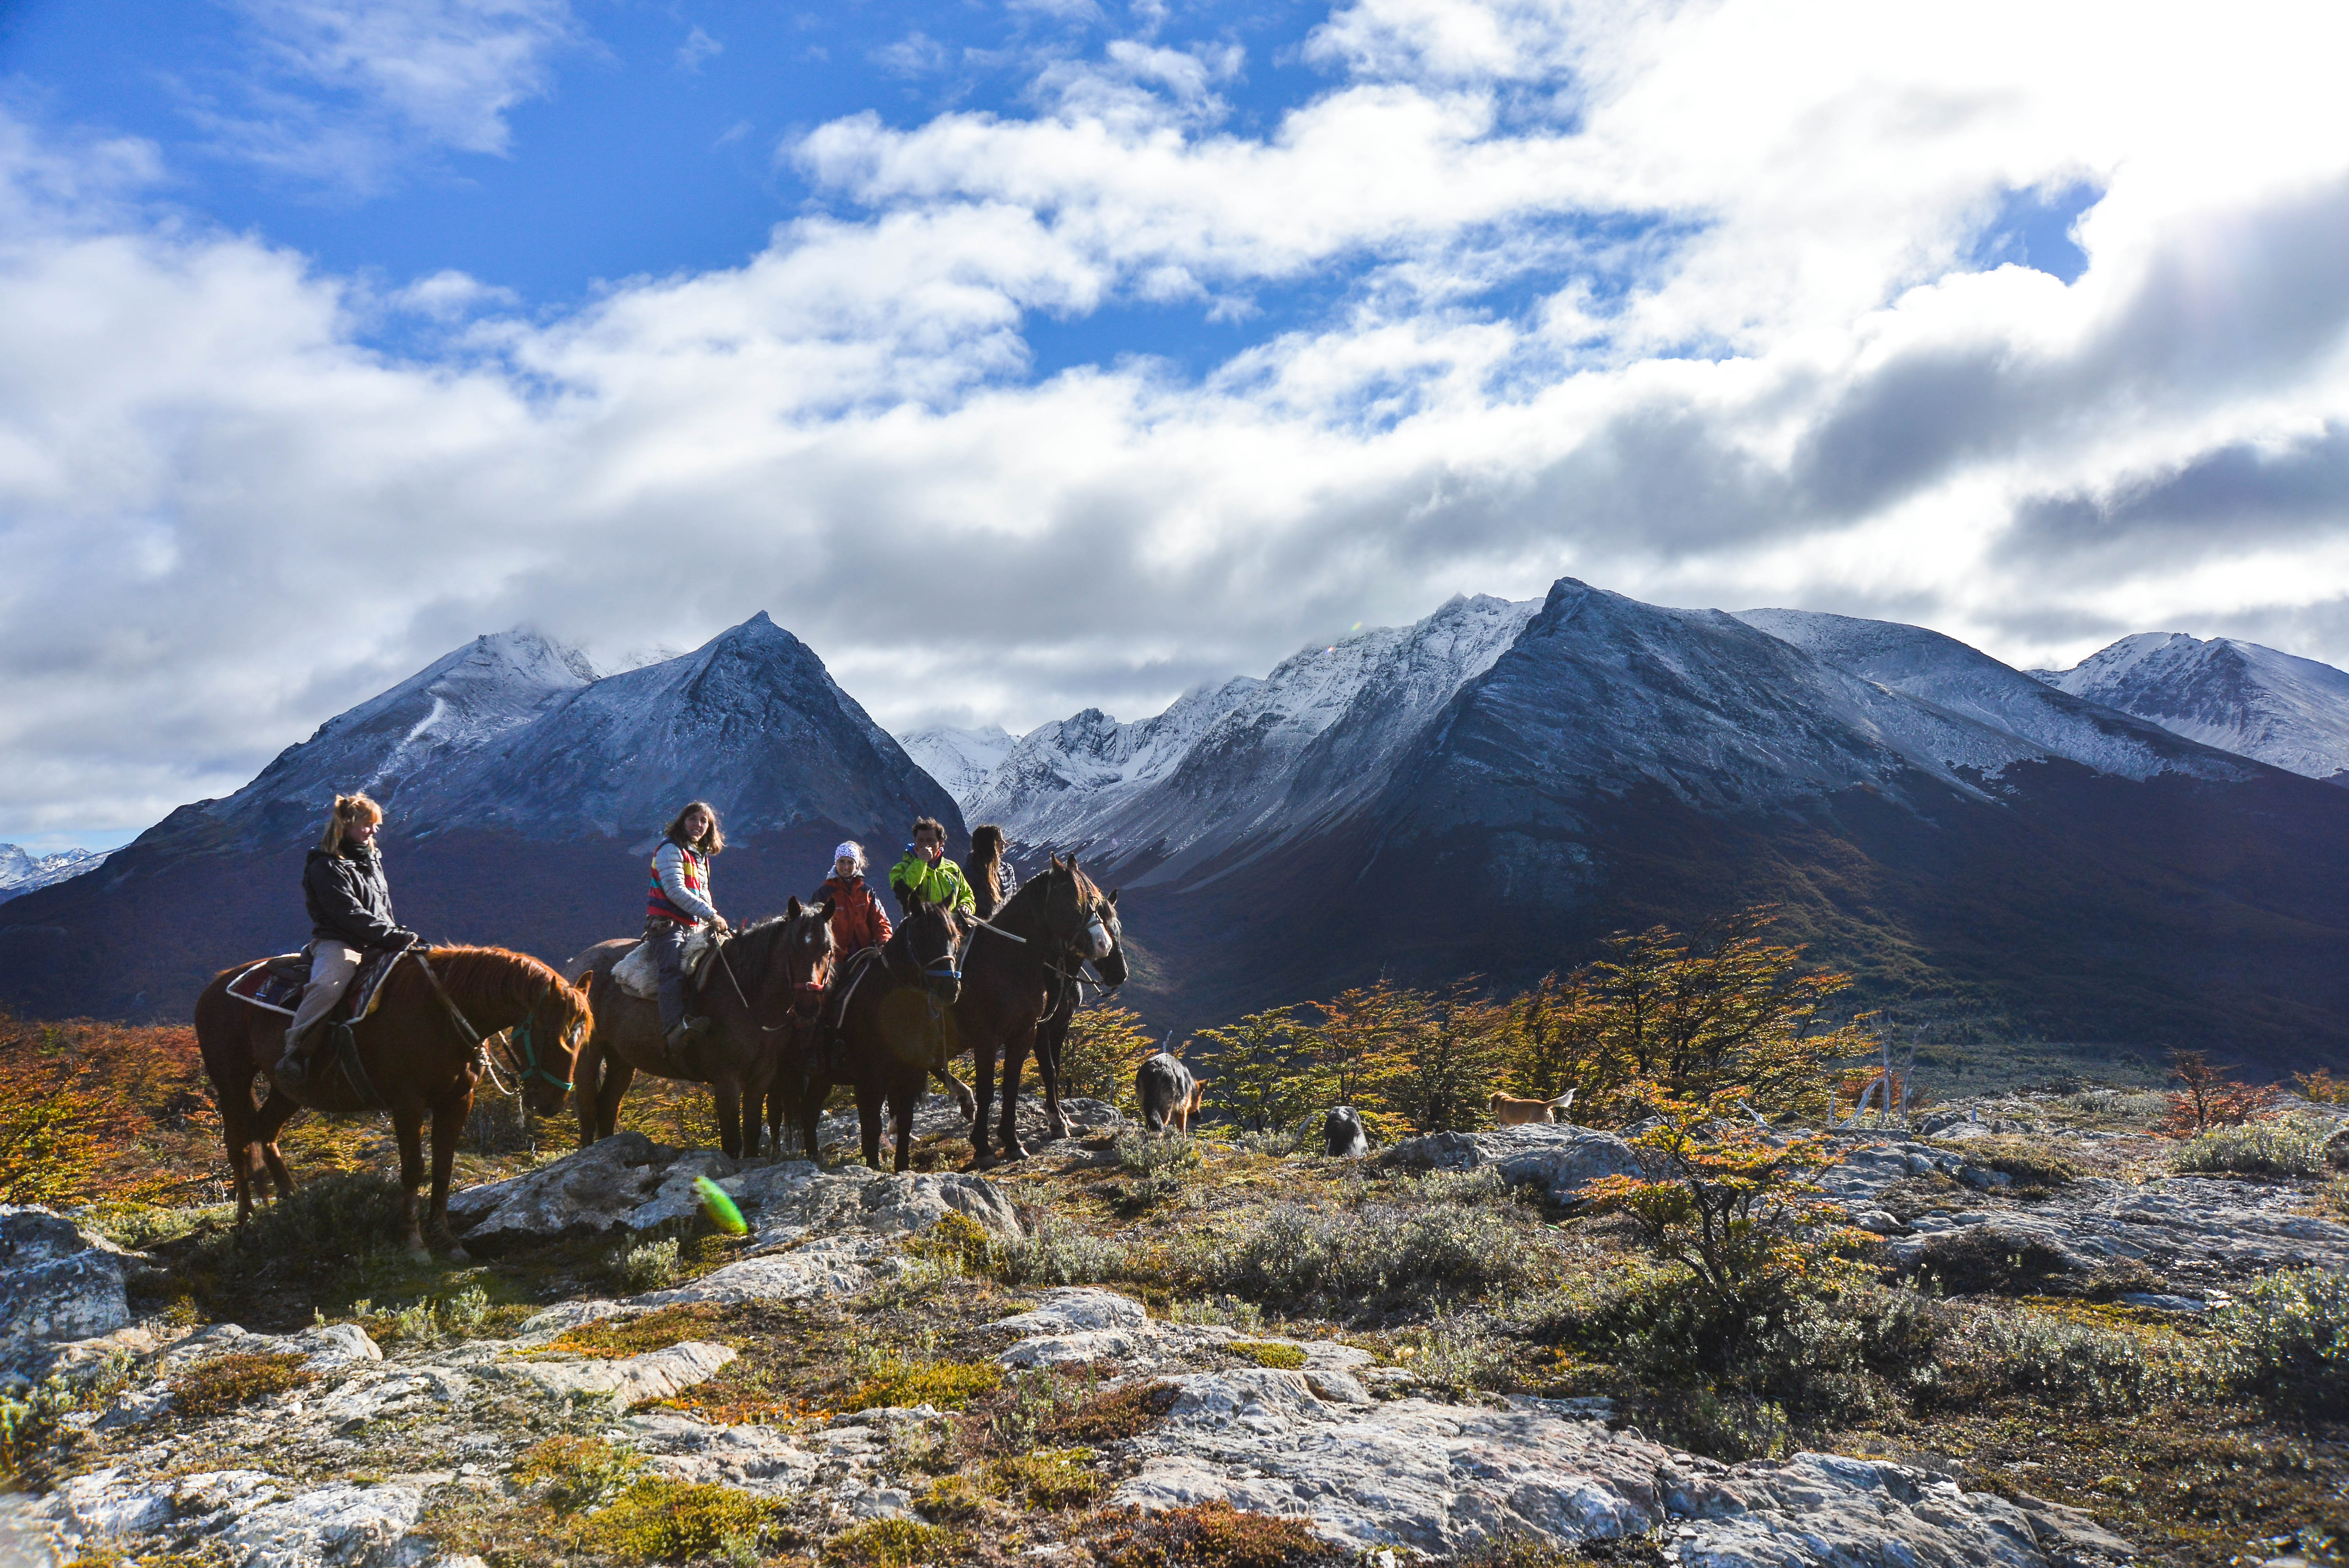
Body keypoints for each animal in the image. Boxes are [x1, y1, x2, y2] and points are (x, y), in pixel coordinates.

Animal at [196, 943, 592, 1258]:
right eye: (549, 1033)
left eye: (583, 1039)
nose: (553, 1102)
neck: (441, 1014)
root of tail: (215, 986)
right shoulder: (408, 1104)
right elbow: (414, 1170)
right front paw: (415, 1245)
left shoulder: (457, 1101)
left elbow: (444, 1168)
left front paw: (447, 1241)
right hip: (232, 1081)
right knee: (238, 1144)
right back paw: (246, 1220)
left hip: (288, 1088)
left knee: (266, 1132)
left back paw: (291, 1201)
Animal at [563, 892, 831, 1164]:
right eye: (793, 947)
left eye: (827, 949)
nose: (808, 1007)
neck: (747, 994)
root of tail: (576, 965)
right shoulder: (727, 1081)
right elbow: (732, 1143)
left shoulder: (761, 1079)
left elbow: (752, 1135)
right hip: (588, 1055)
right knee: (587, 1110)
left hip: (620, 1059)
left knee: (608, 1107)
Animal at [963, 859, 1127, 1164]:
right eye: (1108, 927)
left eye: (1118, 928)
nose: (1120, 974)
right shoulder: (1039, 1030)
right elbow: (1049, 1070)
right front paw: (1057, 1121)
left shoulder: (1060, 1027)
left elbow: (1056, 1069)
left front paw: (1064, 1117)